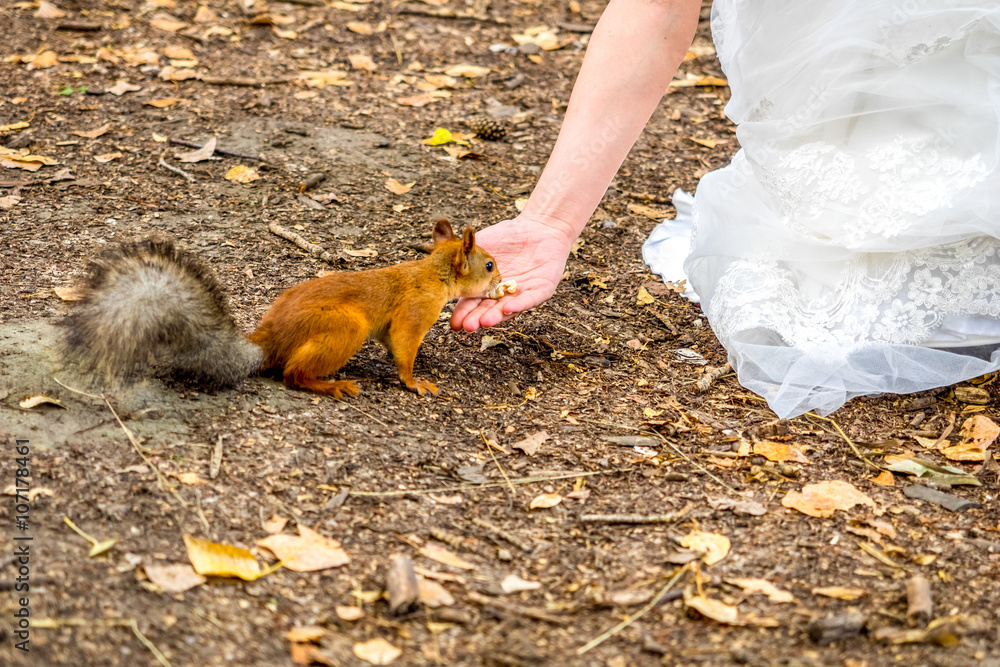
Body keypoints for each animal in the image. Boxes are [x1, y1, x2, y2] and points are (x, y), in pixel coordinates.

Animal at [61, 220, 500, 396]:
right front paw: (414, 381)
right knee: (292, 374)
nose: (500, 281)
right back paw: (330, 385)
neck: (433, 273)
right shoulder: (415, 311)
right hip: (345, 328)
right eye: (489, 265)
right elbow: (405, 347)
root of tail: (268, 341)